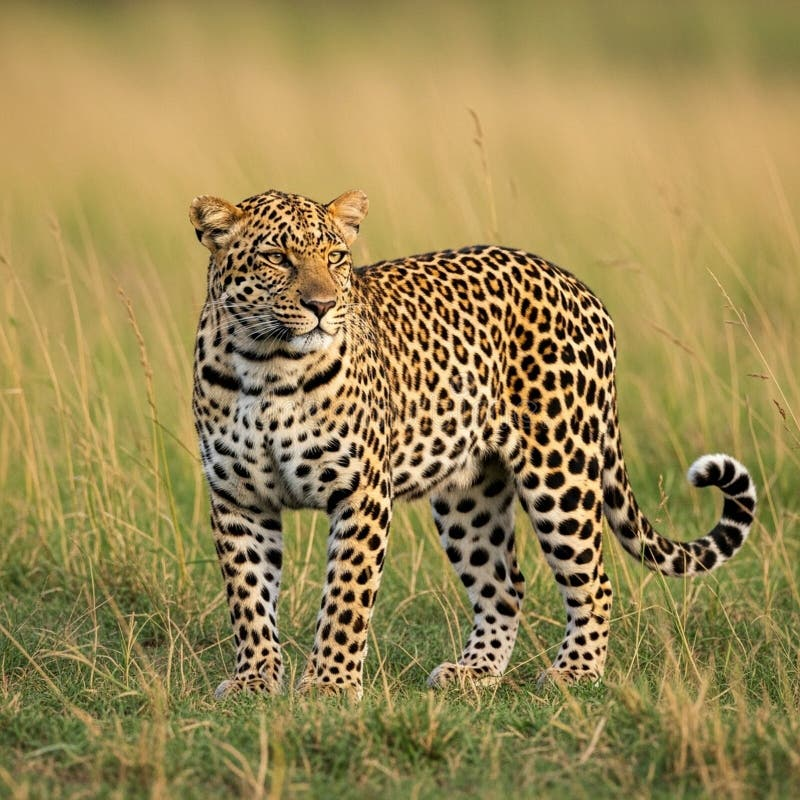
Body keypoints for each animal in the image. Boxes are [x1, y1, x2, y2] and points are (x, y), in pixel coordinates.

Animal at [189, 187, 756, 701]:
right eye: (276, 258)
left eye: (335, 257)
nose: (322, 305)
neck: (265, 364)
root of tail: (578, 286)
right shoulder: (237, 500)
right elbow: (248, 596)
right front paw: (254, 680)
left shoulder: (360, 493)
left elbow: (346, 597)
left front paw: (330, 685)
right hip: (470, 495)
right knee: (505, 586)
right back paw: (475, 672)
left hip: (561, 473)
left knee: (594, 581)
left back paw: (575, 672)